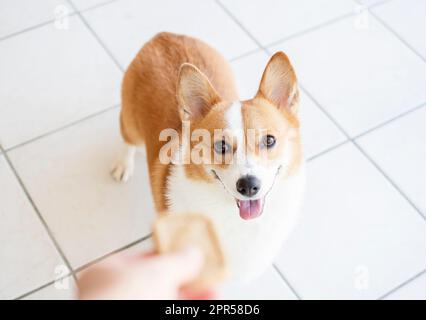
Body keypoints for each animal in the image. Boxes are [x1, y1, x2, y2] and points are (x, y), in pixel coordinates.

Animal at [111, 32, 304, 282]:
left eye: (269, 140)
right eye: (221, 145)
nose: (248, 186)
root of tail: (164, 36)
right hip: (130, 123)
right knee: (128, 140)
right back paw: (123, 165)